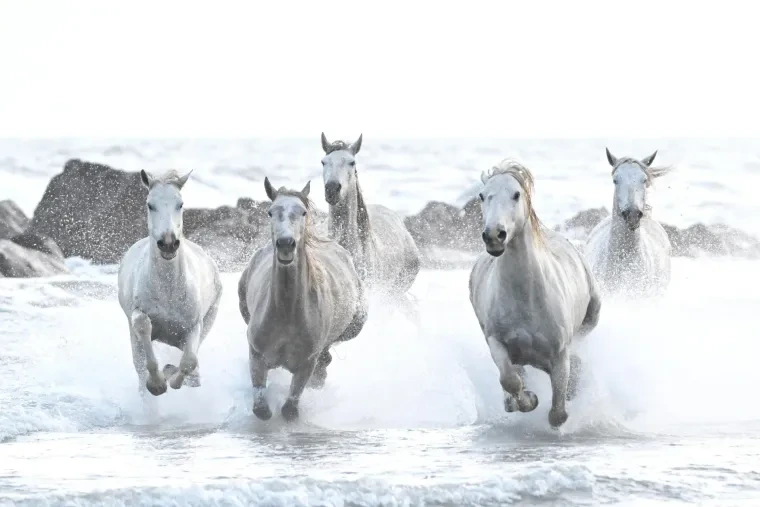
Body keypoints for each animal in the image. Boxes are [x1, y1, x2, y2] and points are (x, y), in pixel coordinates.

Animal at [118, 169, 223, 396]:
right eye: (150, 204)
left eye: (180, 204)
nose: (168, 244)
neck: (168, 290)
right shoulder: (137, 314)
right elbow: (143, 326)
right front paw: (157, 384)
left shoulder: (194, 326)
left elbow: (189, 361)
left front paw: (172, 378)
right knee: (139, 368)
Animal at [238, 177, 368, 422]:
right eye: (270, 212)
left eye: (303, 212)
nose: (285, 244)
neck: (287, 314)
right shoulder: (257, 355)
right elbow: (261, 408)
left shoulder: (306, 364)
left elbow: (290, 409)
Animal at [469, 159, 602, 428]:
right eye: (482, 195)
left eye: (516, 194)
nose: (494, 236)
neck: (526, 298)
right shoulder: (496, 342)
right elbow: (510, 380)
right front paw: (526, 401)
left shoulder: (560, 356)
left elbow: (558, 413)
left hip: (594, 310)